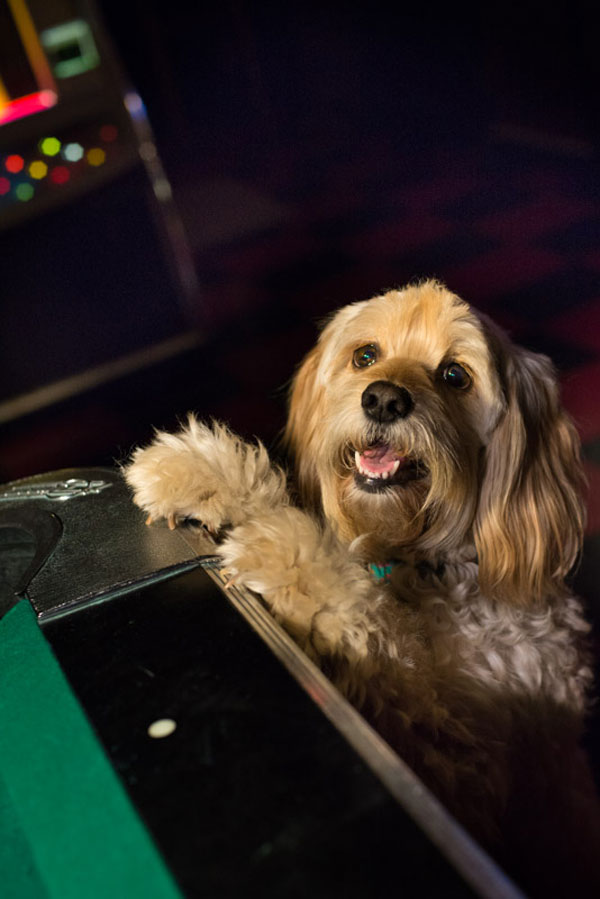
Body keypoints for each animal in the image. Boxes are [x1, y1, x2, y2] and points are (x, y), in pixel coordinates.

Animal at [124, 280, 600, 892]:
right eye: (366, 355)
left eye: (455, 375)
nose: (384, 400)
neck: (415, 564)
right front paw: (205, 472)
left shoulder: (463, 763)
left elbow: (369, 635)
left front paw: (292, 555)